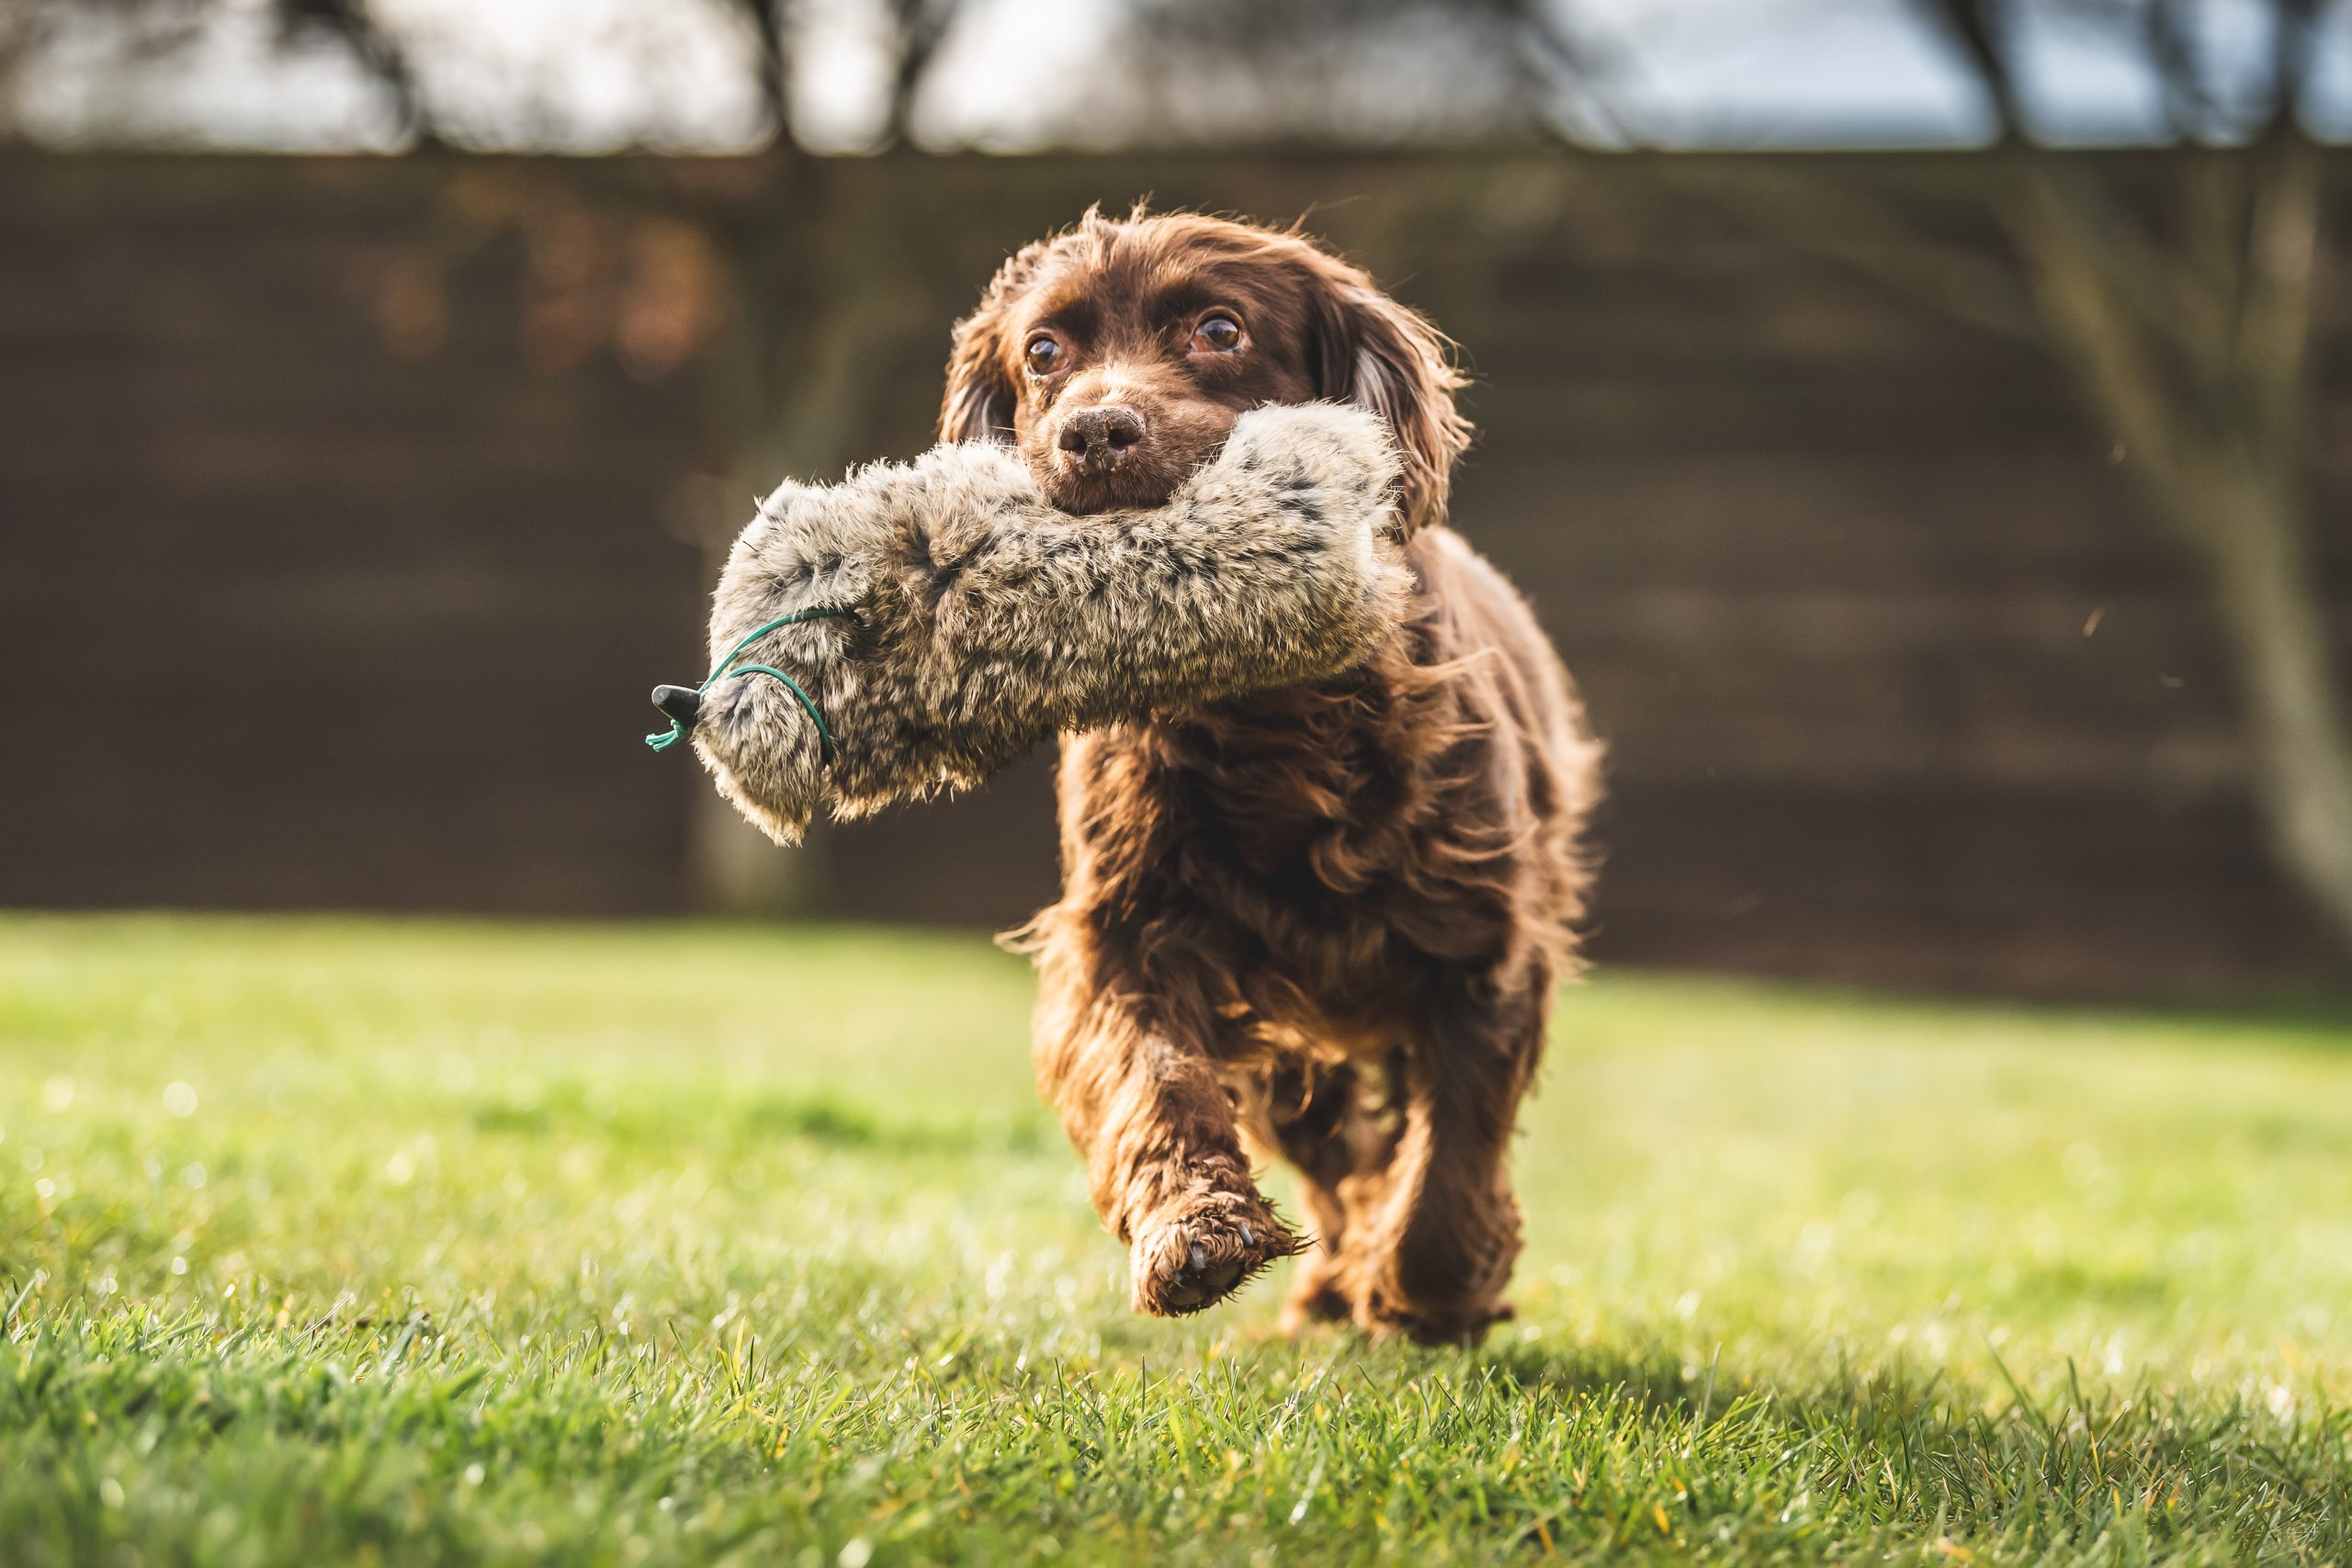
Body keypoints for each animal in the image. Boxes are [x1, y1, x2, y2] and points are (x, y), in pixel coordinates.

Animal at [935, 202, 1599, 1344]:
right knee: (1338, 1162)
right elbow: (1152, 1077)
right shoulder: (1127, 934)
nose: (1094, 433)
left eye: (1218, 329)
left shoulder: (1485, 949)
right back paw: (1329, 1281)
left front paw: (1439, 1292)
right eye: (1044, 352)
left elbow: (1449, 1162)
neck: (1269, 718)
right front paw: (1193, 1230)